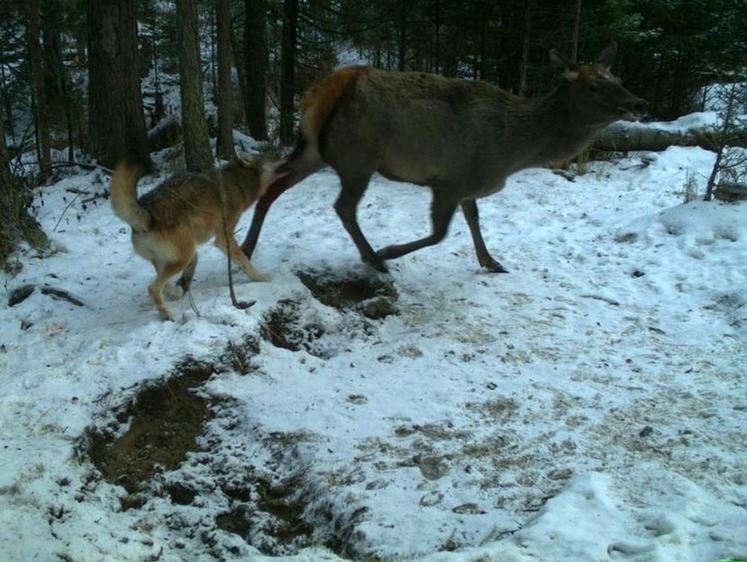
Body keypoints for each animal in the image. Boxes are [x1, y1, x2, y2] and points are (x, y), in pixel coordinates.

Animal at [112, 153, 284, 320]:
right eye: (272, 157)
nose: (285, 157)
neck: (237, 182)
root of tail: (147, 214)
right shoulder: (224, 237)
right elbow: (245, 261)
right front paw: (261, 278)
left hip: (175, 257)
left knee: (163, 284)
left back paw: (176, 293)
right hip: (183, 256)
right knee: (153, 288)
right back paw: (169, 315)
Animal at [241, 42, 648, 272]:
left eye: (619, 78)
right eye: (594, 85)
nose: (639, 104)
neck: (513, 152)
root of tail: (325, 88)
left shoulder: (468, 184)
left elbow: (474, 218)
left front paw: (491, 262)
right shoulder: (451, 179)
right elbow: (440, 233)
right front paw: (390, 251)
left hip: (315, 150)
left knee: (272, 186)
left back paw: (246, 247)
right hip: (358, 155)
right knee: (343, 207)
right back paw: (374, 259)